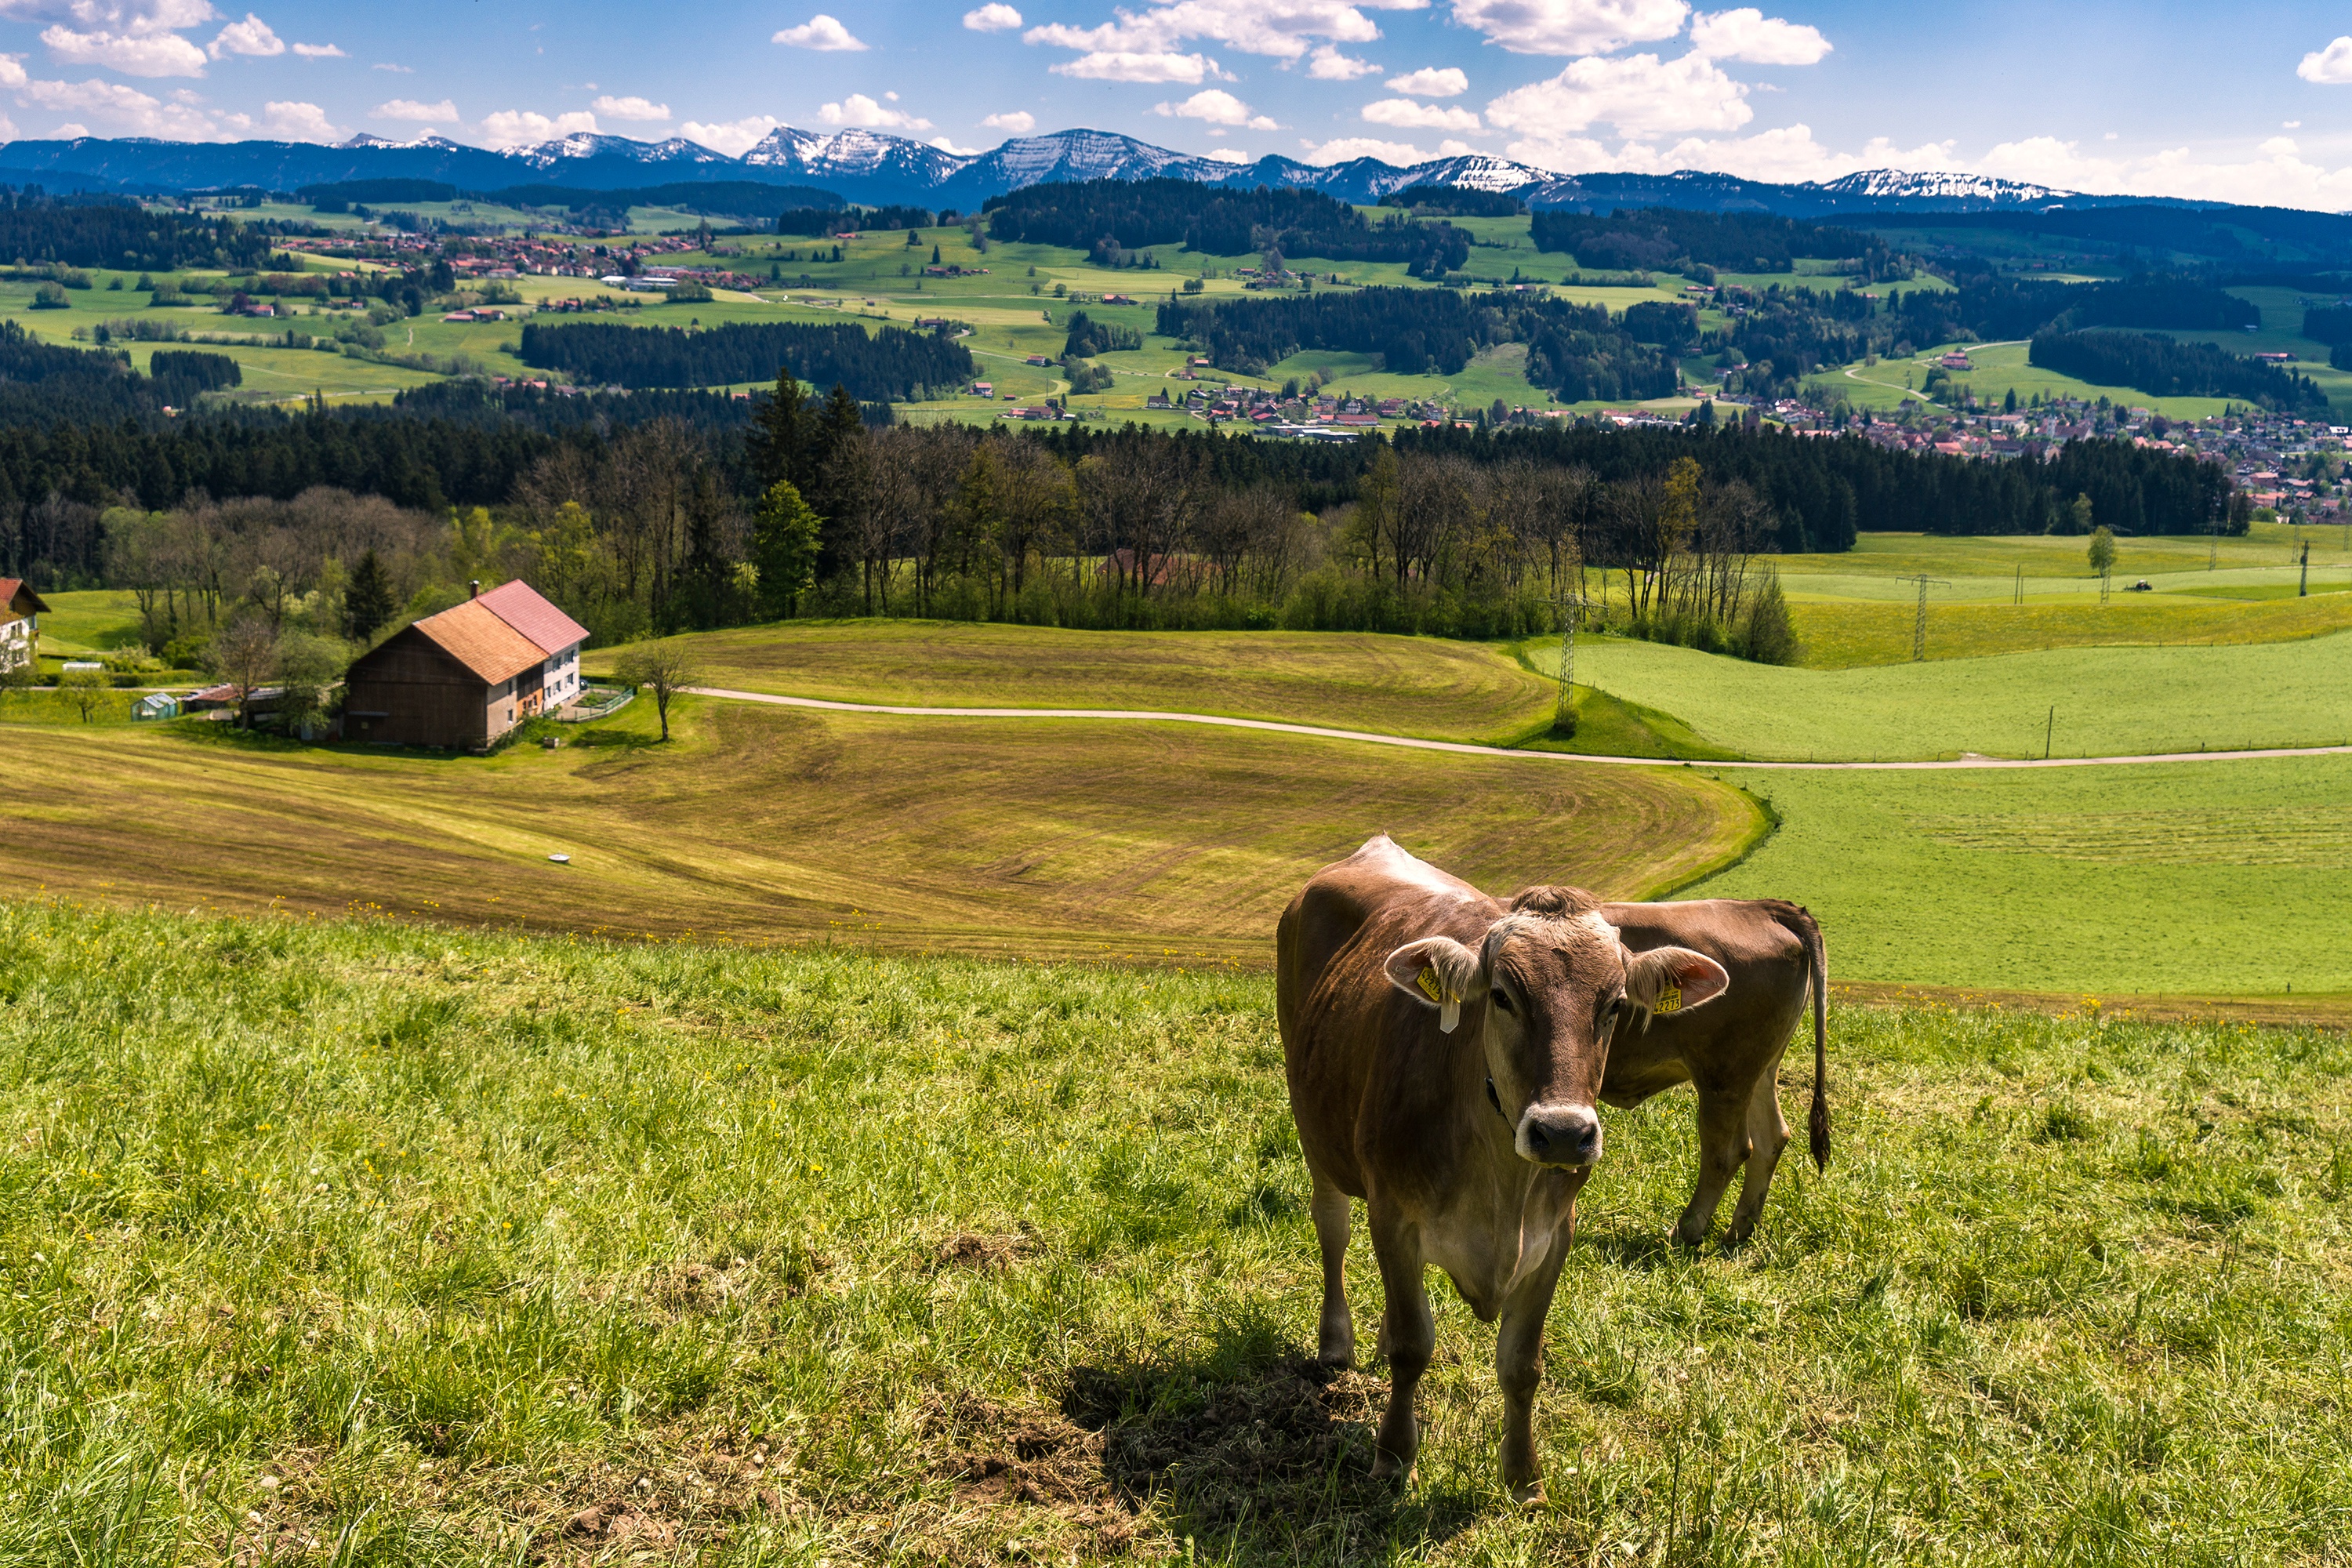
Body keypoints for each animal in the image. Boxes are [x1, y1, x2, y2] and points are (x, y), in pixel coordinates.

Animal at [1279, 841, 1825, 1504]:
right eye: (1501, 996)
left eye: (1615, 1005)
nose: (1563, 1132)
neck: (1502, 1187)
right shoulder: (1393, 1217)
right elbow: (1414, 1346)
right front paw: (1393, 1456)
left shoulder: (1553, 1236)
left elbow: (1521, 1364)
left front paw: (1524, 1479)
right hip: (1316, 1130)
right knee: (1332, 1228)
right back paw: (1337, 1343)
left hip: (1742, 1069)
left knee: (1757, 1141)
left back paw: (1725, 1229)